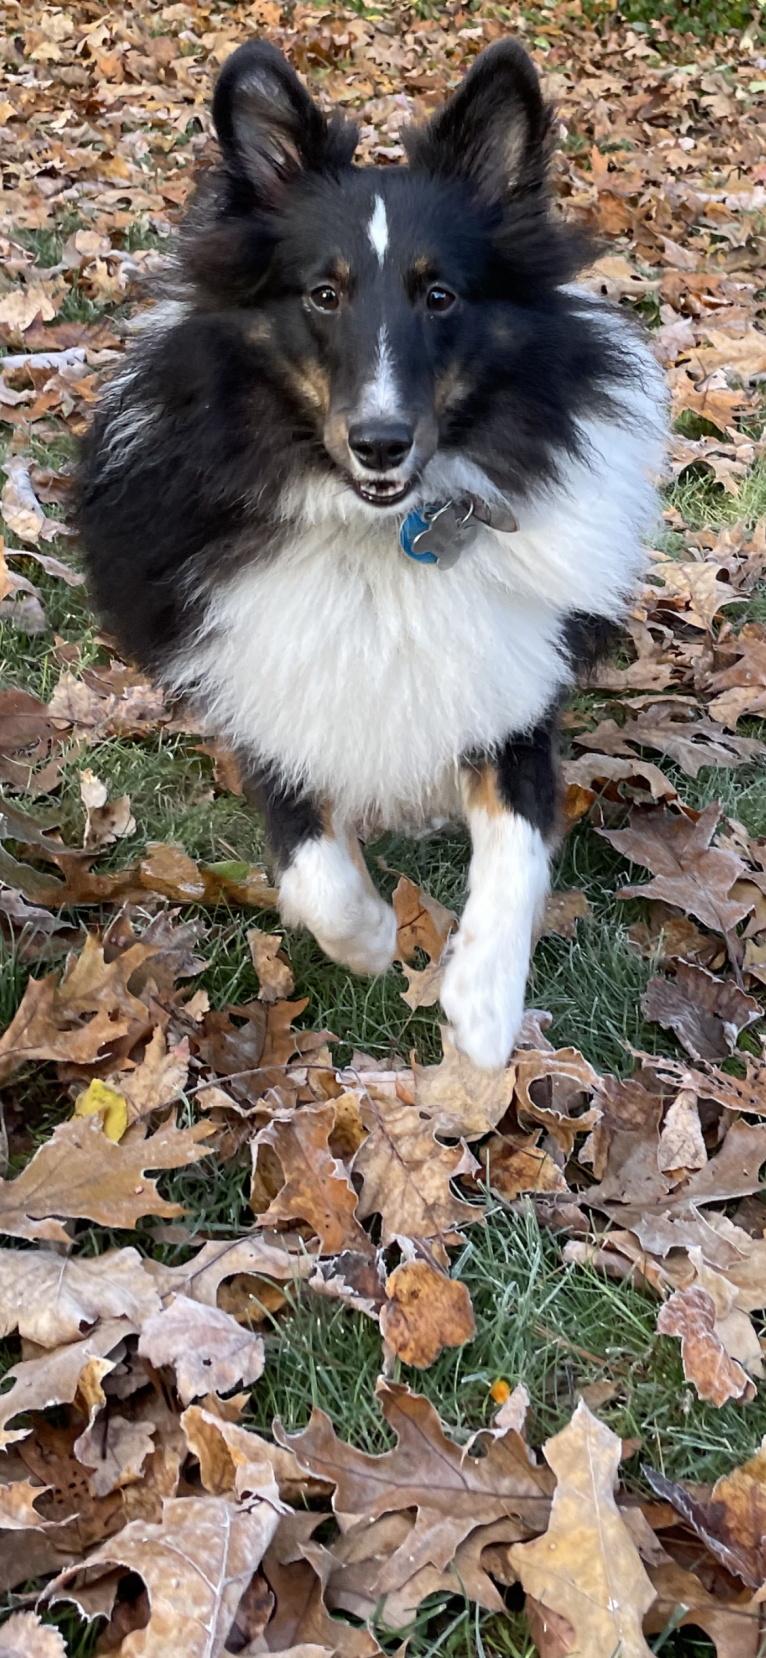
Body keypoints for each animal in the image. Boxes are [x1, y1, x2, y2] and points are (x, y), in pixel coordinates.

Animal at [77, 45, 663, 1074]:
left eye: (440, 295)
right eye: (323, 293)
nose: (382, 445)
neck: (381, 539)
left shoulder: (510, 686)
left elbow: (517, 847)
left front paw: (482, 1003)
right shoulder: (270, 676)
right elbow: (314, 871)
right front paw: (375, 940)